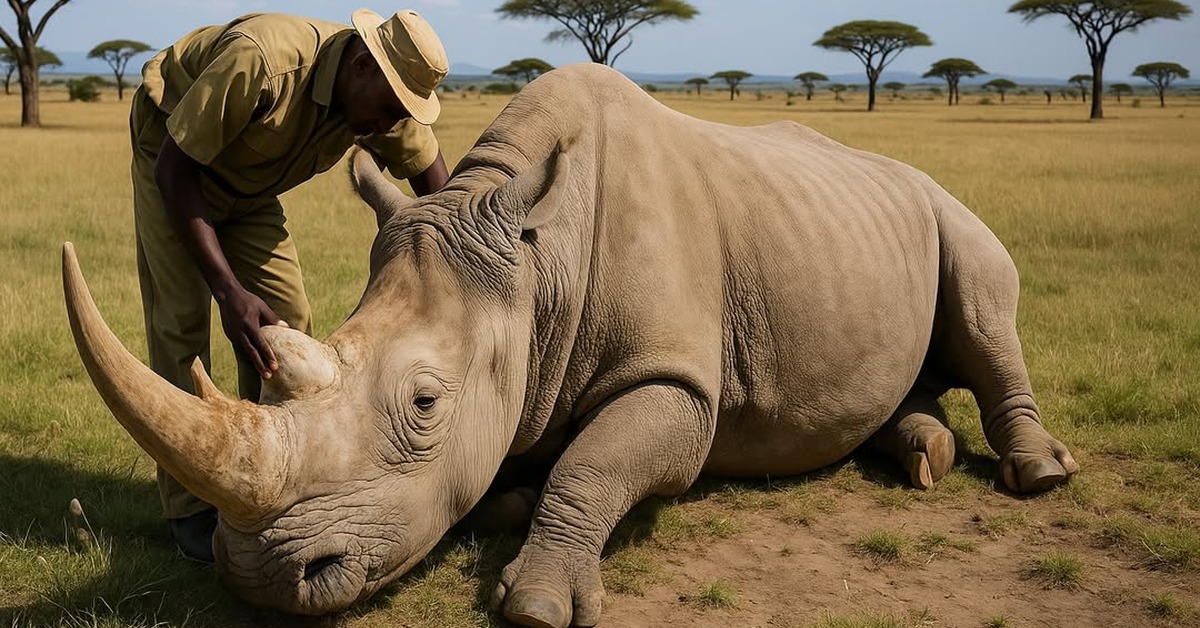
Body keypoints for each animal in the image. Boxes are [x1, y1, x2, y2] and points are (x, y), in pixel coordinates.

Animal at [63, 63, 1078, 628]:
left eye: (425, 405)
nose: (256, 575)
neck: (532, 268)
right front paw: (507, 500)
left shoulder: (679, 382)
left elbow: (596, 465)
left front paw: (541, 604)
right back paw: (924, 455)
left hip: (938, 202)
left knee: (984, 306)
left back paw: (1038, 475)